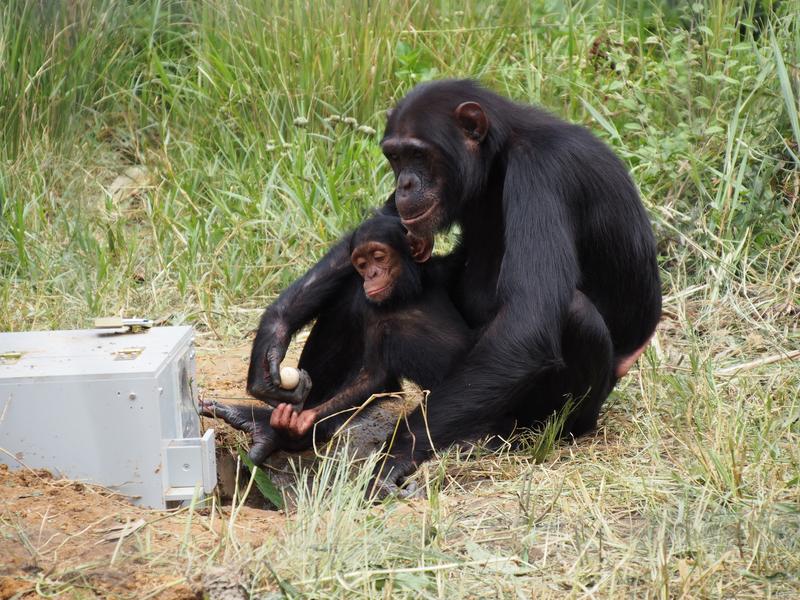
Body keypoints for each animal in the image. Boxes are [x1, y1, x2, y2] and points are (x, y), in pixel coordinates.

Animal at [203, 216, 472, 464]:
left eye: (379, 256)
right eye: (362, 264)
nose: (372, 274)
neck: (405, 296)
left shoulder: (441, 268)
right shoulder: (370, 312)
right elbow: (374, 376)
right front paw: (302, 417)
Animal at [239, 78, 664, 492]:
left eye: (418, 155)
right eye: (395, 157)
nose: (406, 183)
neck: (498, 156)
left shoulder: (544, 172)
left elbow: (527, 321)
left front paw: (393, 456)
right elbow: (375, 228)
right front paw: (272, 339)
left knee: (572, 314)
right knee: (353, 297)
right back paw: (277, 430)